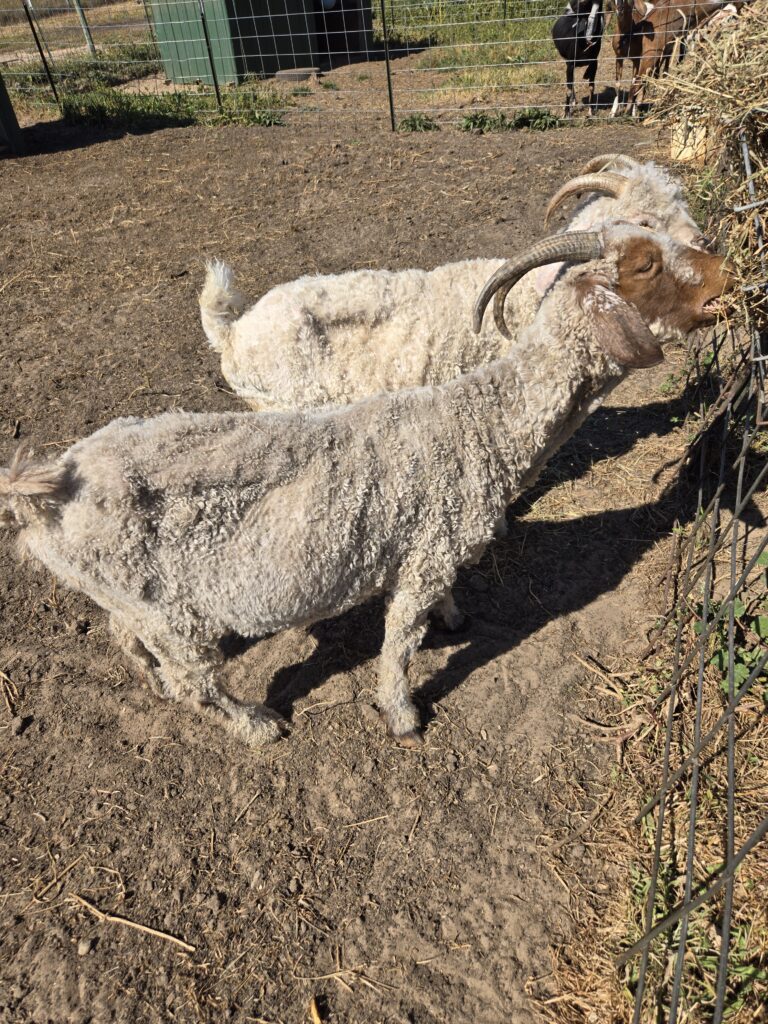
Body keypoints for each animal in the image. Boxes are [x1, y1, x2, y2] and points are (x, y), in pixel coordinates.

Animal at [1, 228, 732, 750]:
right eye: (645, 265)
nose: (726, 274)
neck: (479, 424)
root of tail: (48, 491)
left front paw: (453, 618)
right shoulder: (426, 553)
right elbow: (399, 642)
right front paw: (402, 715)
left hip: (126, 595)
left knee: (127, 639)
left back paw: (149, 679)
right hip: (169, 612)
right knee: (193, 680)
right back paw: (255, 723)